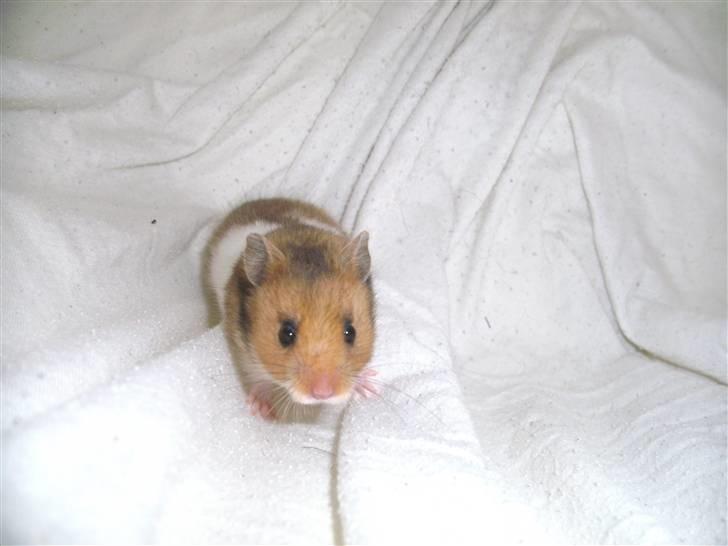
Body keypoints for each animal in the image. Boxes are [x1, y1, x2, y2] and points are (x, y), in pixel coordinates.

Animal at [203, 198, 377, 419]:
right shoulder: (242, 352)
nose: (323, 394)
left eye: (351, 332)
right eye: (285, 334)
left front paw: (371, 388)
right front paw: (262, 411)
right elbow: (257, 377)